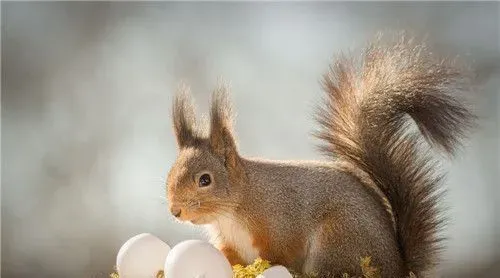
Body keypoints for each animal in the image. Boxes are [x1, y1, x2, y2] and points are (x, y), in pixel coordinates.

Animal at [166, 35, 474, 276]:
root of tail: (399, 269)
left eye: (205, 180)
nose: (175, 211)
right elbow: (229, 257)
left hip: (336, 240)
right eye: (168, 176)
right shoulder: (232, 243)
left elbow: (280, 252)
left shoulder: (281, 220)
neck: (236, 206)